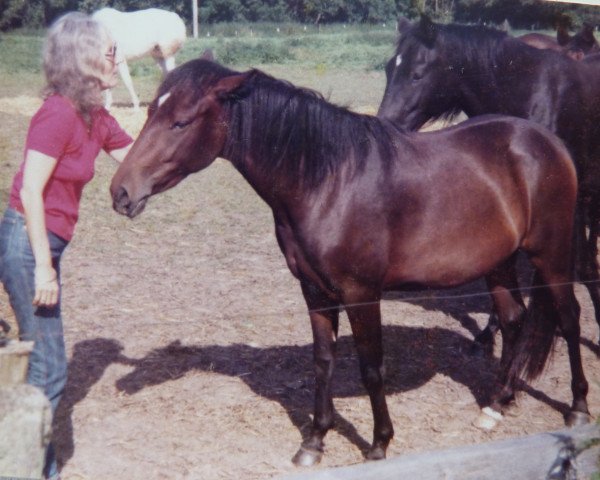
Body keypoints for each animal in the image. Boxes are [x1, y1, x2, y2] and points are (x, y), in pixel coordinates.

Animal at [110, 54, 588, 466]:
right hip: (499, 263)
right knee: (513, 320)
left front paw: (379, 443)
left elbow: (371, 366)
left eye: (181, 122)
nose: (121, 192)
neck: (327, 182)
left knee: (568, 318)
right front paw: (314, 441)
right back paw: (496, 404)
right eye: (151, 113)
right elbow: (323, 362)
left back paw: (578, 408)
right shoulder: (315, 291)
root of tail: (548, 142)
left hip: (552, 255)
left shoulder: (361, 293)